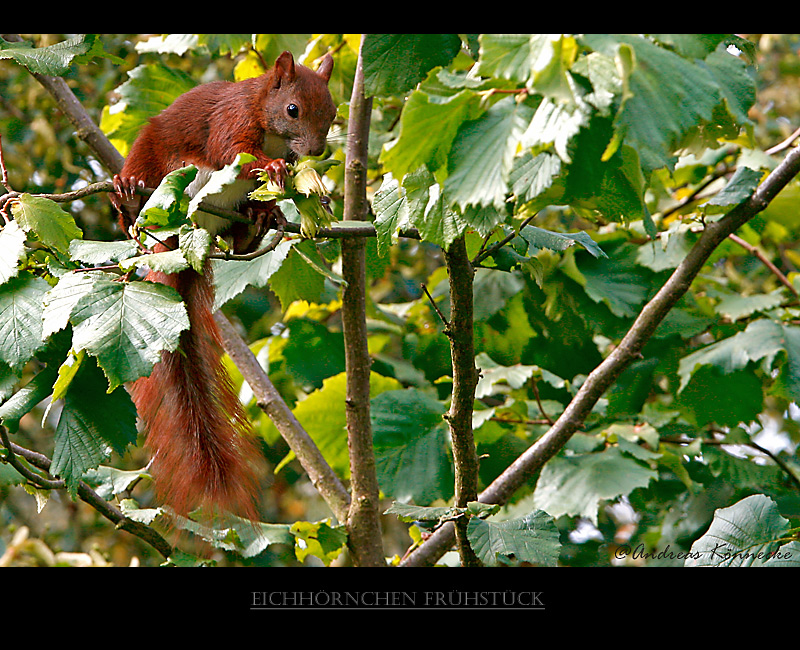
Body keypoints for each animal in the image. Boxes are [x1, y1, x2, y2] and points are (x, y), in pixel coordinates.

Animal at [108, 49, 334, 516]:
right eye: (293, 110)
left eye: (334, 113)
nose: (316, 151)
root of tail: (185, 241)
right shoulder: (231, 121)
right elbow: (232, 151)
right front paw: (273, 166)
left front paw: (295, 185)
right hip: (154, 165)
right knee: (137, 203)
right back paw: (128, 195)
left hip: (228, 211)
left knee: (239, 231)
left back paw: (259, 220)